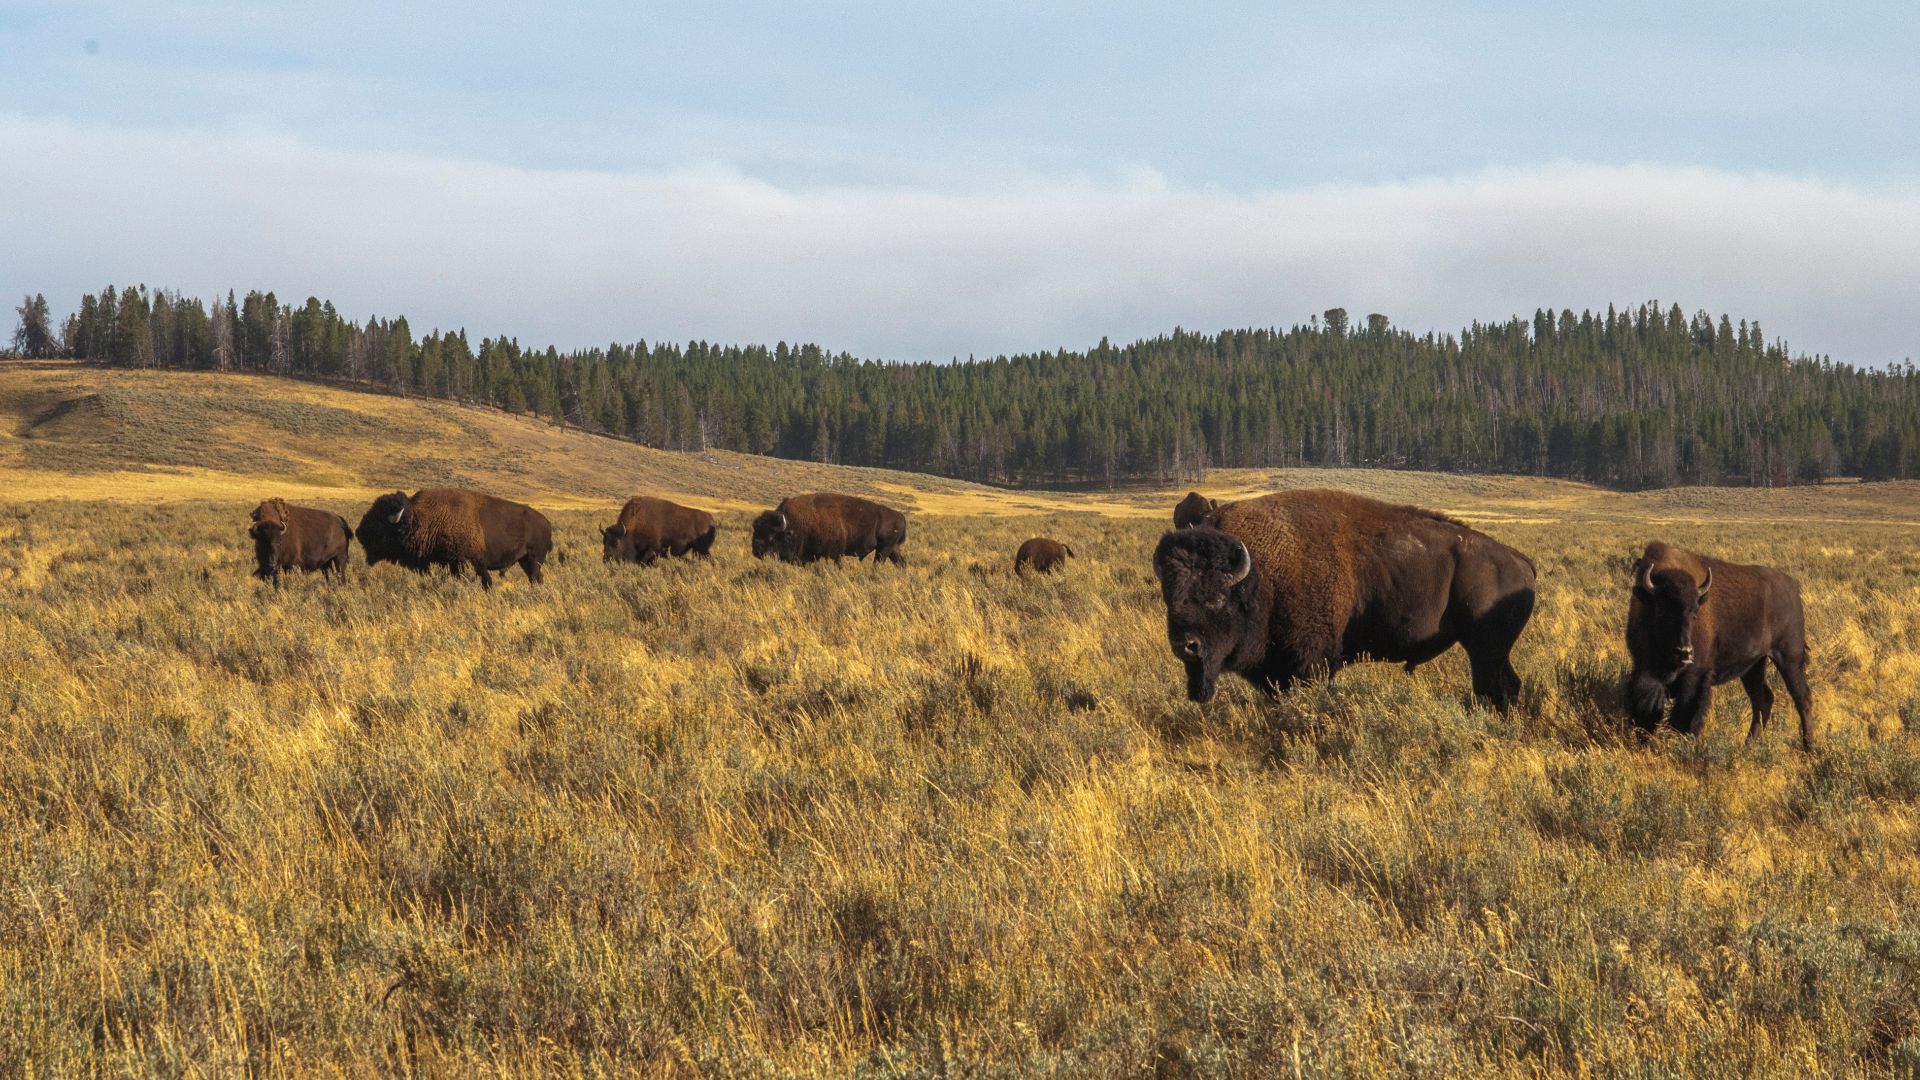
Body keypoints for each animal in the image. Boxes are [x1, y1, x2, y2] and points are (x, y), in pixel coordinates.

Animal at [354, 487, 552, 589]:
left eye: (379, 521)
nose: (358, 533)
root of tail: (546, 522)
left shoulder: (471, 562)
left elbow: (486, 581)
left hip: (533, 559)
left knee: (536, 577)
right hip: (524, 560)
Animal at [751, 493, 907, 566]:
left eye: (771, 538)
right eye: (756, 532)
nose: (756, 551)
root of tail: (900, 516)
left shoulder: (835, 553)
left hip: (884, 549)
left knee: (879, 563)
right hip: (892, 549)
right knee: (901, 563)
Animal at [1153, 489, 1536, 709]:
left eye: (1216, 597)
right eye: (1171, 597)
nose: (1185, 645)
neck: (1259, 576)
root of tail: (1520, 560)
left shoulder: (1309, 665)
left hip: (1484, 649)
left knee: (1491, 687)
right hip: (1492, 650)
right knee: (1507, 685)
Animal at [1625, 541, 1816, 750]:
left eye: (1694, 613)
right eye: (1661, 611)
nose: (1684, 652)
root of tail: (1792, 587)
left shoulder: (1695, 676)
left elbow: (1683, 717)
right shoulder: (1644, 671)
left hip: (1789, 658)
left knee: (1802, 697)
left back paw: (1809, 748)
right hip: (1754, 666)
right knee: (1763, 699)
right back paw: (1749, 745)